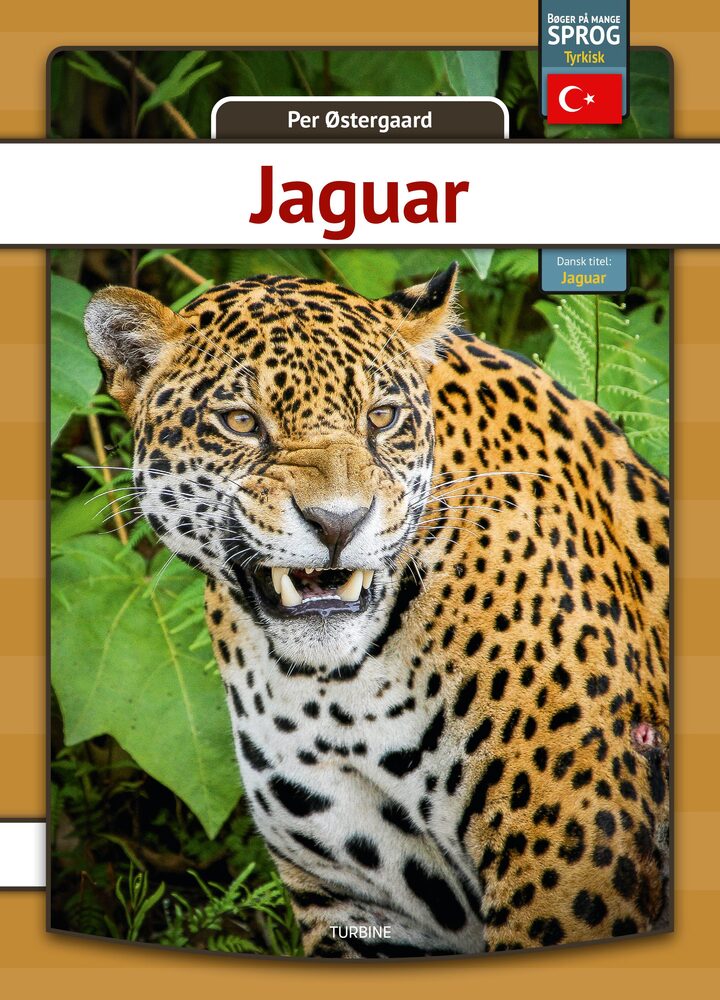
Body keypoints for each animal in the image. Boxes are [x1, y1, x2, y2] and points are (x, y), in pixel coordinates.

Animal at [84, 264, 670, 958]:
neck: (339, 692)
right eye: (241, 422)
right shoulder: (357, 900)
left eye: (383, 417)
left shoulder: (573, 859)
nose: (339, 522)